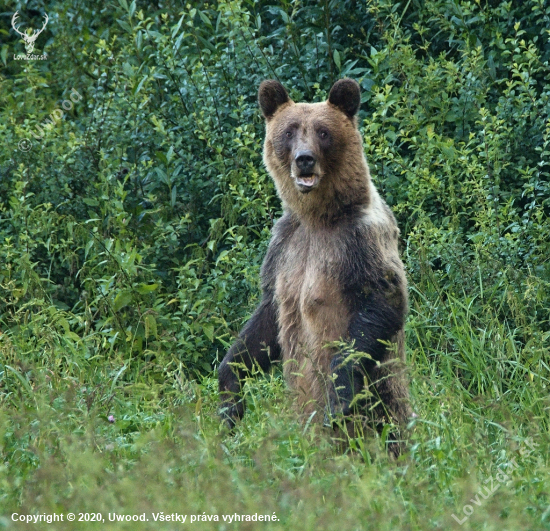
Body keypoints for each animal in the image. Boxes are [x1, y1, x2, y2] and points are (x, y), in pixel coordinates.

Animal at [218, 79, 412, 450]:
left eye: (323, 132)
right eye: (289, 131)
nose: (304, 159)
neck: (319, 218)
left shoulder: (360, 239)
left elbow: (382, 300)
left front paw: (339, 396)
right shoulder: (283, 247)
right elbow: (266, 319)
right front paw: (229, 393)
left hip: (383, 393)